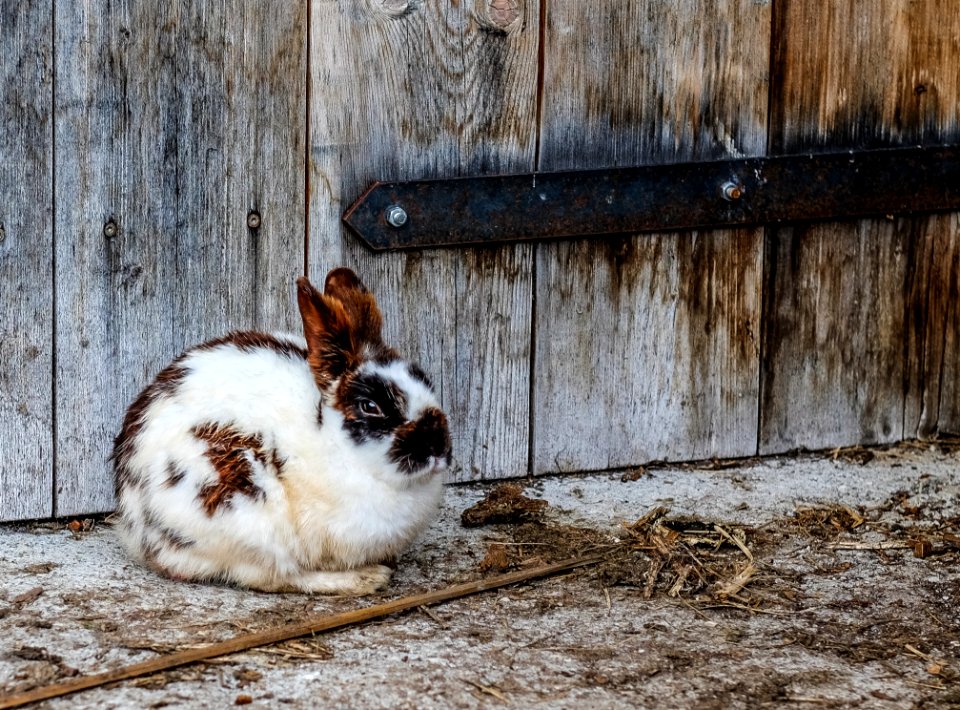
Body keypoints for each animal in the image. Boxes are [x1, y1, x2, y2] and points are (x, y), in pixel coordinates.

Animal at [110, 268, 456, 596]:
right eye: (370, 406)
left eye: (425, 380)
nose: (438, 447)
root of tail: (137, 527)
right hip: (248, 513)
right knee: (277, 577)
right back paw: (364, 578)